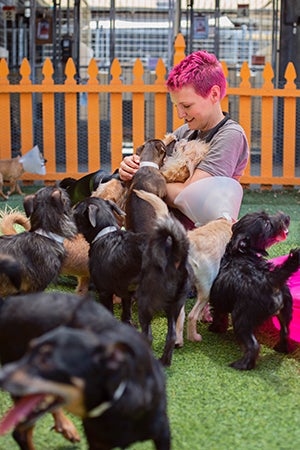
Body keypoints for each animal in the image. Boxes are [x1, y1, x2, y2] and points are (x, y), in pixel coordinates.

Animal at [209, 210, 300, 370]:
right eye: (267, 224)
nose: (287, 217)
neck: (241, 253)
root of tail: (270, 279)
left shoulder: (218, 299)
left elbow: (219, 315)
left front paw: (215, 328)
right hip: (285, 311)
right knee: (285, 331)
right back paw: (282, 348)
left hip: (241, 317)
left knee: (253, 345)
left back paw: (242, 364)